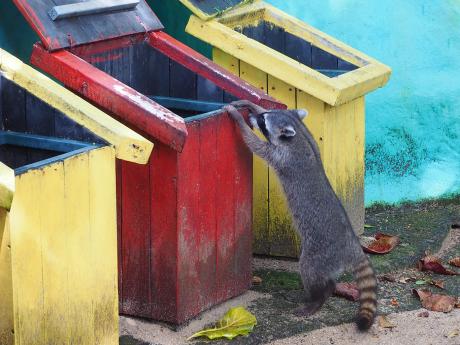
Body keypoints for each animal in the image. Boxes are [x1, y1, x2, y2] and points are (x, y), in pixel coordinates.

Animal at [224, 100, 378, 330]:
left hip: (320, 254)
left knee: (309, 269)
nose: (252, 118)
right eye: (264, 116)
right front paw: (249, 104)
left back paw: (318, 298)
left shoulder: (282, 155)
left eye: (263, 122)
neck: (297, 134)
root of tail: (351, 244)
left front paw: (238, 119)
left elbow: (255, 144)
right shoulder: (306, 131)